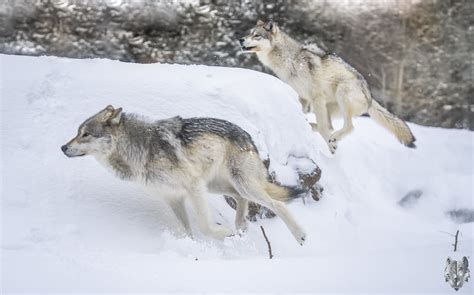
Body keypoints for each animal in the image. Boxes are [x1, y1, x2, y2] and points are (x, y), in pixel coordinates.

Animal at [62, 106, 308, 245]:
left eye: (85, 134)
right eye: (77, 132)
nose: (63, 147)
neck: (140, 148)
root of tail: (247, 135)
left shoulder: (194, 186)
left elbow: (204, 226)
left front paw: (223, 233)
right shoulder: (174, 198)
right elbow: (187, 231)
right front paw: (193, 251)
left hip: (241, 184)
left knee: (278, 204)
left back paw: (299, 235)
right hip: (220, 187)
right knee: (241, 199)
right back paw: (241, 225)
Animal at [239, 20, 416, 155]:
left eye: (256, 35)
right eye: (248, 33)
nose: (240, 39)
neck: (290, 60)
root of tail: (371, 97)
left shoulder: (316, 97)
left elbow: (324, 128)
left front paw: (330, 145)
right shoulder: (303, 98)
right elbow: (309, 119)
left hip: (342, 93)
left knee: (347, 127)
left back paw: (333, 139)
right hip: (330, 106)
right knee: (329, 126)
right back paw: (316, 129)